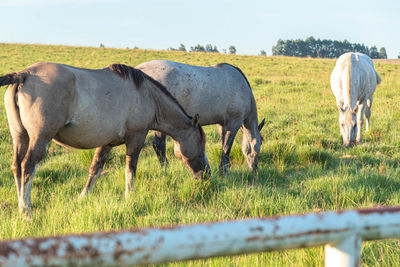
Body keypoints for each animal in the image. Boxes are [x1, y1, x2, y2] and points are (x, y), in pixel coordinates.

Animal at [0, 61, 211, 217]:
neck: (149, 96)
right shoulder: (136, 139)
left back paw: (20, 204)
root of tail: (24, 74)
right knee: (28, 166)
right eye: (201, 144)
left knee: (17, 166)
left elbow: (95, 169)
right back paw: (26, 209)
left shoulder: (106, 144)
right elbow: (130, 170)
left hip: (20, 137)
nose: (207, 175)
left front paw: (83, 197)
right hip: (41, 138)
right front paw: (129, 197)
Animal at [136, 59, 264, 175]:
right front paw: (224, 171)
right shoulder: (233, 123)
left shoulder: (221, 124)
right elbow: (227, 147)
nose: (255, 169)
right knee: (159, 144)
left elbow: (223, 144)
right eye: (260, 143)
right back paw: (166, 169)